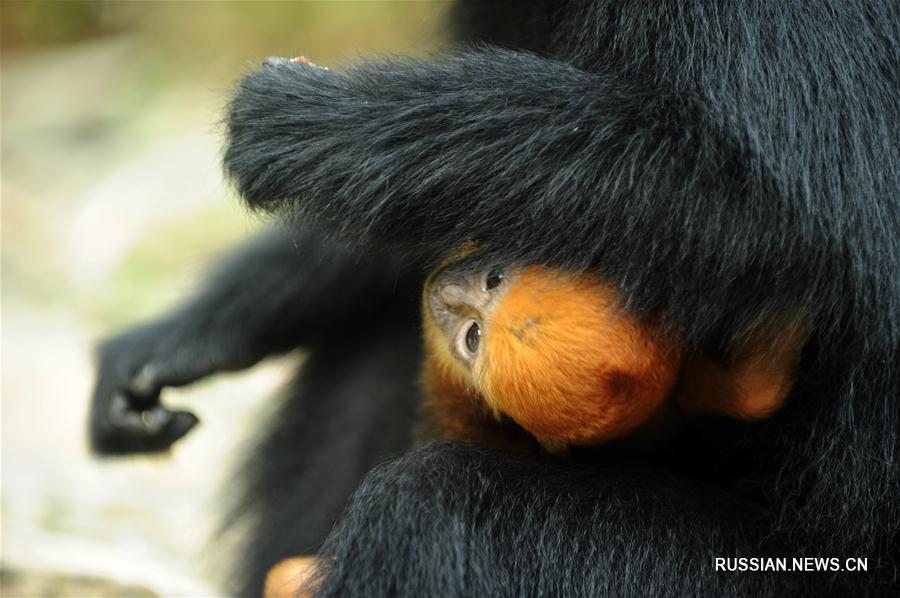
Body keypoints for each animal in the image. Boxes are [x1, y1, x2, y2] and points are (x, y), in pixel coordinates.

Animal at [86, 1, 900, 598]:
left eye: (479, 332)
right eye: (492, 282)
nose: (454, 300)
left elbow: (792, 221)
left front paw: (325, 125)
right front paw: (183, 340)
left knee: (424, 508)